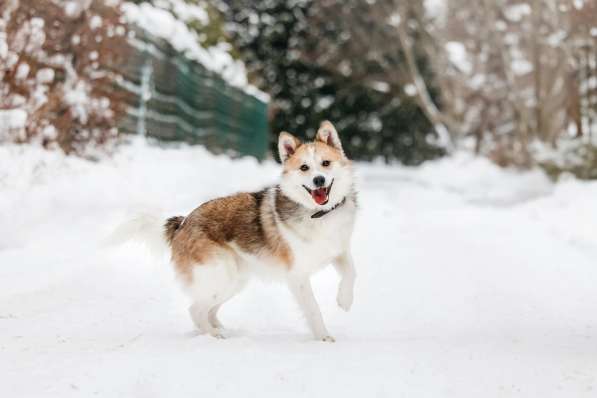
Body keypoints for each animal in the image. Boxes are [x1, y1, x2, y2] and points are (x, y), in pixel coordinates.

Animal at [118, 121, 356, 342]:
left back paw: (222, 329)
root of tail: (182, 223)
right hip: (222, 275)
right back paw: (214, 335)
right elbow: (313, 309)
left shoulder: (338, 250)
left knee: (208, 310)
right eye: (304, 168)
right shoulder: (297, 275)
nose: (319, 180)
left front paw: (344, 300)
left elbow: (351, 272)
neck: (318, 213)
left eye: (326, 163)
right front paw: (323, 337)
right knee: (195, 310)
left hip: (234, 281)